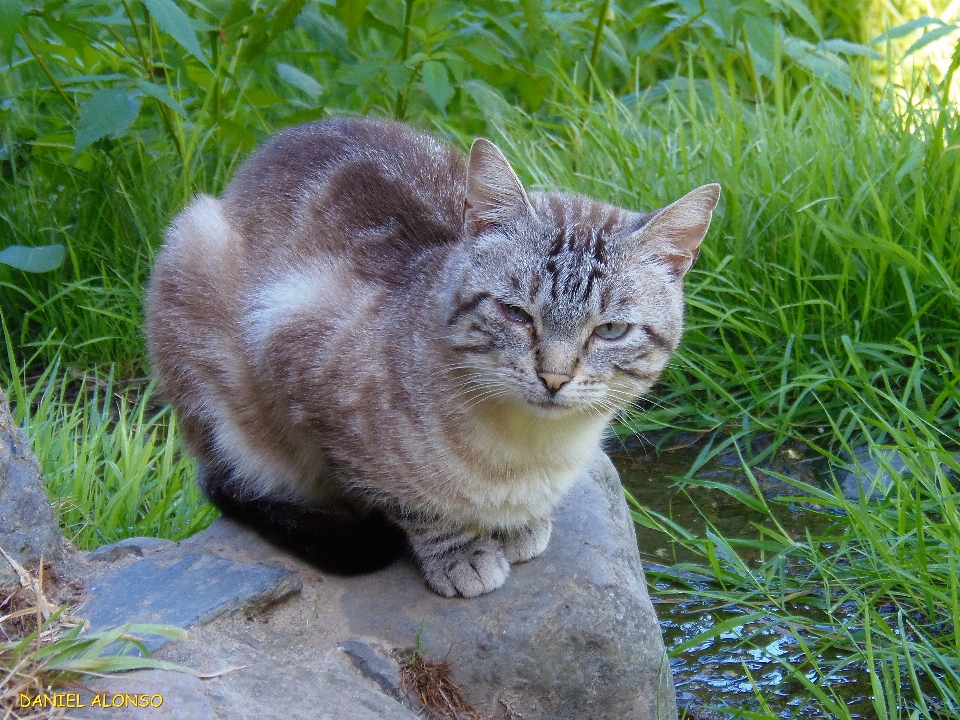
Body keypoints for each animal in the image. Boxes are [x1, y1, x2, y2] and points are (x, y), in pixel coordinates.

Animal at [146, 118, 716, 600]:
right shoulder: (302, 369)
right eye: (516, 314)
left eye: (610, 331)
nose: (553, 378)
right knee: (231, 478)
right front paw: (464, 555)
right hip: (195, 267)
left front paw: (522, 526)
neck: (532, 450)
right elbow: (416, 507)